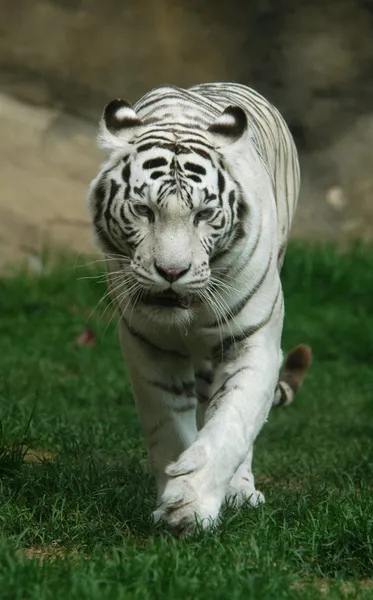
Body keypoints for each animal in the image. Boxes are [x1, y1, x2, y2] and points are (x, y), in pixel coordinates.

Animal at [87, 82, 310, 532]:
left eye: (204, 214)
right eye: (144, 210)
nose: (172, 271)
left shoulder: (253, 341)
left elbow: (233, 422)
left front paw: (190, 506)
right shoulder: (146, 345)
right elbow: (168, 424)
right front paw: (174, 495)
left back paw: (241, 490)